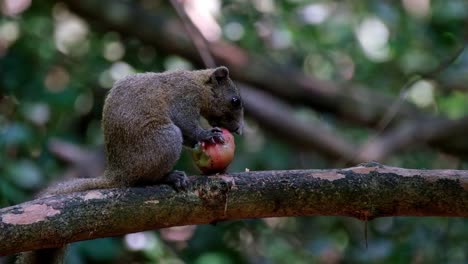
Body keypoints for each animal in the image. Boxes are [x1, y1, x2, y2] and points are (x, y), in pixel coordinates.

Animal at [17, 66, 245, 264]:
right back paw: (171, 177)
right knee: (145, 178)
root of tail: (118, 173)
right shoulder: (184, 101)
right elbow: (187, 125)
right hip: (166, 139)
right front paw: (207, 135)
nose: (239, 130)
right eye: (235, 101)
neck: (197, 84)